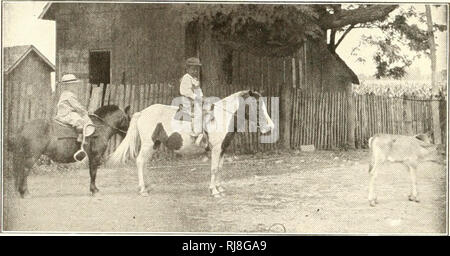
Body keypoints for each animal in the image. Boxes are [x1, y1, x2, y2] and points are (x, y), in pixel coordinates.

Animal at [109, 91, 274, 197]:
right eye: (256, 105)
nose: (270, 127)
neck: (221, 117)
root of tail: (142, 112)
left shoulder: (222, 149)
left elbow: (220, 168)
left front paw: (220, 188)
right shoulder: (215, 150)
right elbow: (214, 169)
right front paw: (214, 191)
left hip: (154, 145)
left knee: (144, 163)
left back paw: (148, 187)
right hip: (147, 145)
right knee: (139, 162)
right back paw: (143, 189)